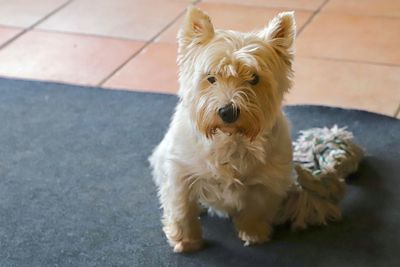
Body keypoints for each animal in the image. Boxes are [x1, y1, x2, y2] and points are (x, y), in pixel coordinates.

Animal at [149, 6, 296, 253]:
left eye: (254, 78)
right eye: (211, 78)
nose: (228, 112)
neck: (230, 137)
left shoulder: (270, 178)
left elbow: (258, 207)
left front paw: (254, 233)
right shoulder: (181, 172)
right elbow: (181, 208)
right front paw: (186, 241)